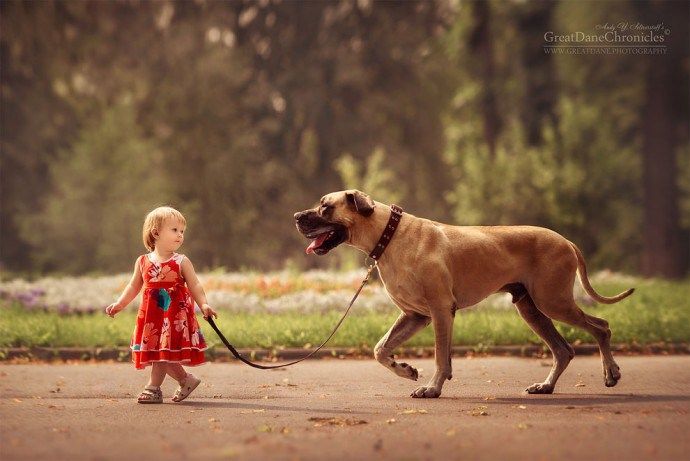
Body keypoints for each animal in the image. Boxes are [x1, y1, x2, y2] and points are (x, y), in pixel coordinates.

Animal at [292, 189, 632, 398]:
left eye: (325, 207)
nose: (296, 216)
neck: (389, 235)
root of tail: (566, 241)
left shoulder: (440, 310)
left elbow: (440, 355)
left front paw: (432, 388)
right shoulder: (415, 316)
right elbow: (380, 349)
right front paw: (406, 369)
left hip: (553, 301)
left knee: (601, 326)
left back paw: (611, 372)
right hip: (531, 308)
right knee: (563, 350)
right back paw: (546, 386)